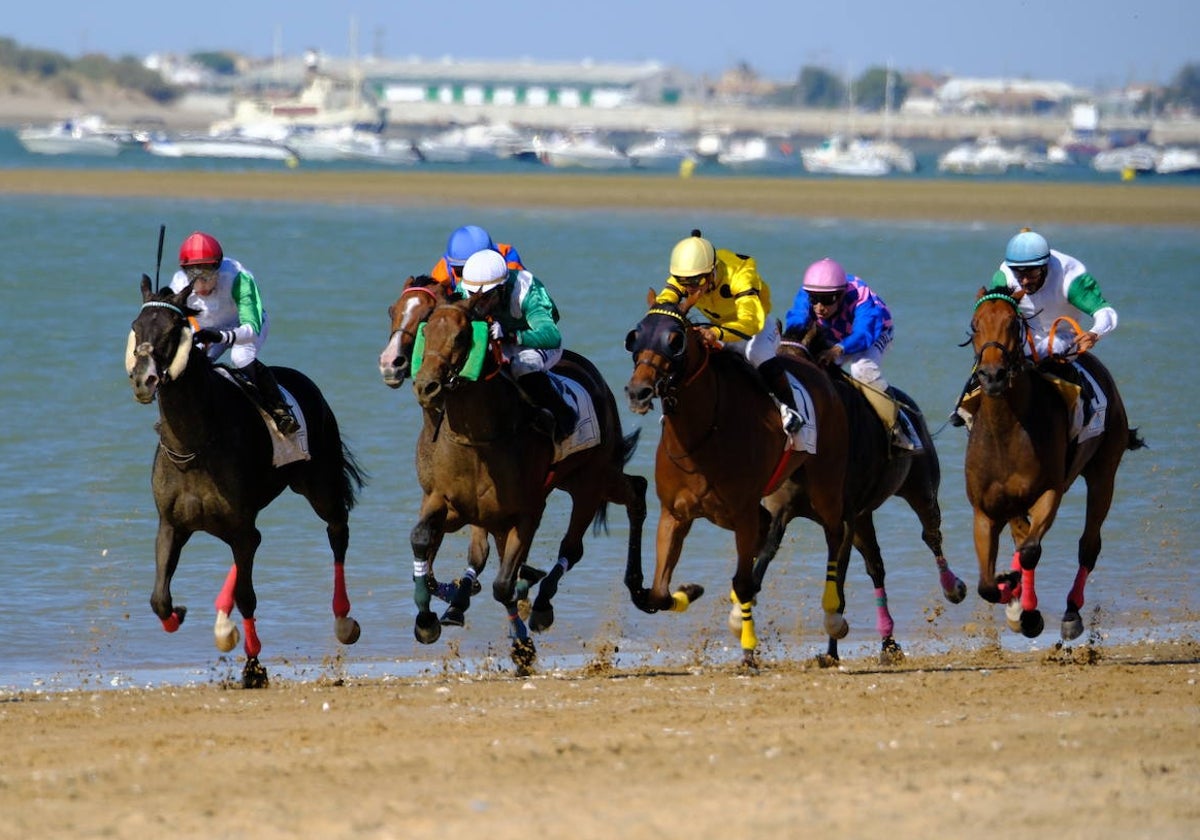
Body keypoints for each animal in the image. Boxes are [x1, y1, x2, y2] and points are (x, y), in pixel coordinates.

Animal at [125, 276, 364, 691]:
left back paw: (343, 618)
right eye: (137, 327)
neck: (193, 446)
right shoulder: (172, 524)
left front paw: (253, 668)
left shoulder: (237, 524)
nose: (144, 379)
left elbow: (248, 597)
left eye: (171, 330)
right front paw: (181, 614)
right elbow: (159, 598)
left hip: (319, 486)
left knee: (337, 531)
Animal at [408, 291, 648, 672]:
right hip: (574, 482)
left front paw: (523, 644)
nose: (426, 386)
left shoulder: (526, 512)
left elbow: (503, 584)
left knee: (585, 536)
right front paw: (428, 620)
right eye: (426, 331)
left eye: (461, 337)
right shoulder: (446, 502)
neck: (478, 440)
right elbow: (424, 541)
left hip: (591, 480)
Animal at [624, 290, 849, 667]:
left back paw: (833, 615)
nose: (638, 391)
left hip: (826, 482)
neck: (702, 435)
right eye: (634, 337)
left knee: (836, 534)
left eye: (675, 340)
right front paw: (689, 590)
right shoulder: (675, 513)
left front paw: (748, 647)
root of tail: (815, 368)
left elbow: (743, 581)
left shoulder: (742, 513)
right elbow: (658, 593)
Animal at [758, 319, 964, 662]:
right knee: (876, 567)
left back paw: (952, 587)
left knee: (931, 535)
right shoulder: (782, 509)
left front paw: (831, 648)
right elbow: (764, 555)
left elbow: (837, 585)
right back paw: (888, 641)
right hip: (865, 515)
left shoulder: (842, 520)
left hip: (921, 489)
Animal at [964, 285, 1142, 638]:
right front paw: (1011, 593)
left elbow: (1031, 551)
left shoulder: (1049, 492)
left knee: (1088, 544)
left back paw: (1071, 611)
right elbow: (987, 585)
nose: (992, 376)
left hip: (1103, 473)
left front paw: (1028, 611)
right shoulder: (985, 510)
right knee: (1021, 538)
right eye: (975, 326)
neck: (1005, 432)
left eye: (1013, 324)